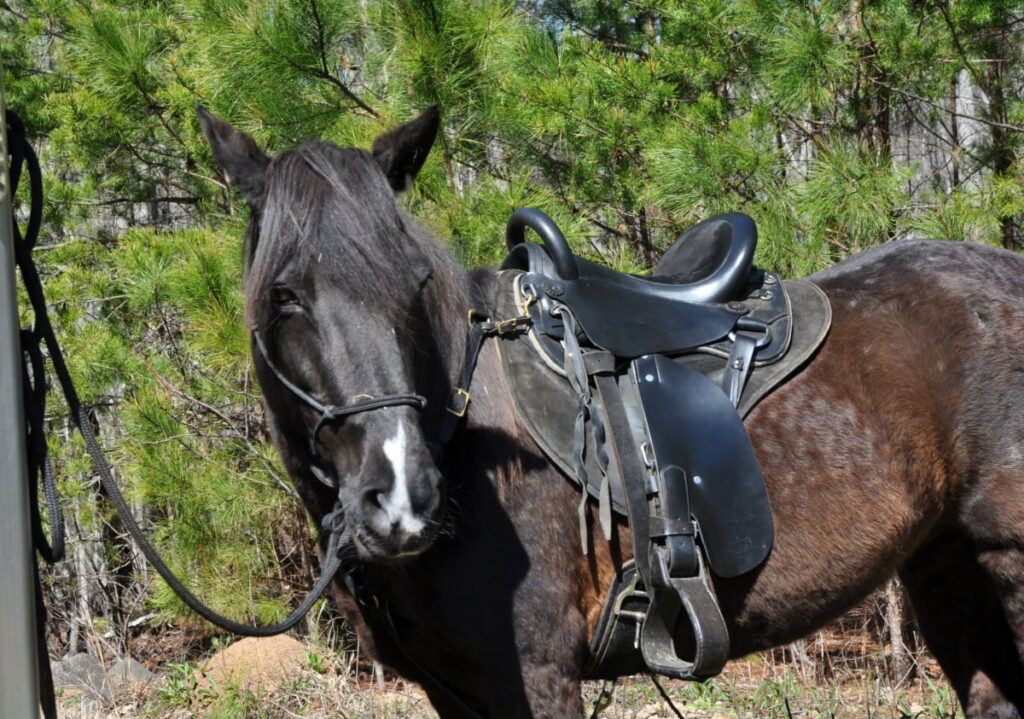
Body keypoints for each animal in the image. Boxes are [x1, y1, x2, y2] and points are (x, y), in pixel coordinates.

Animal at [199, 107, 1024, 719]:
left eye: (414, 281)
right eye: (284, 294)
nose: (405, 498)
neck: (465, 440)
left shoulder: (535, 674)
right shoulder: (453, 690)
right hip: (946, 567)